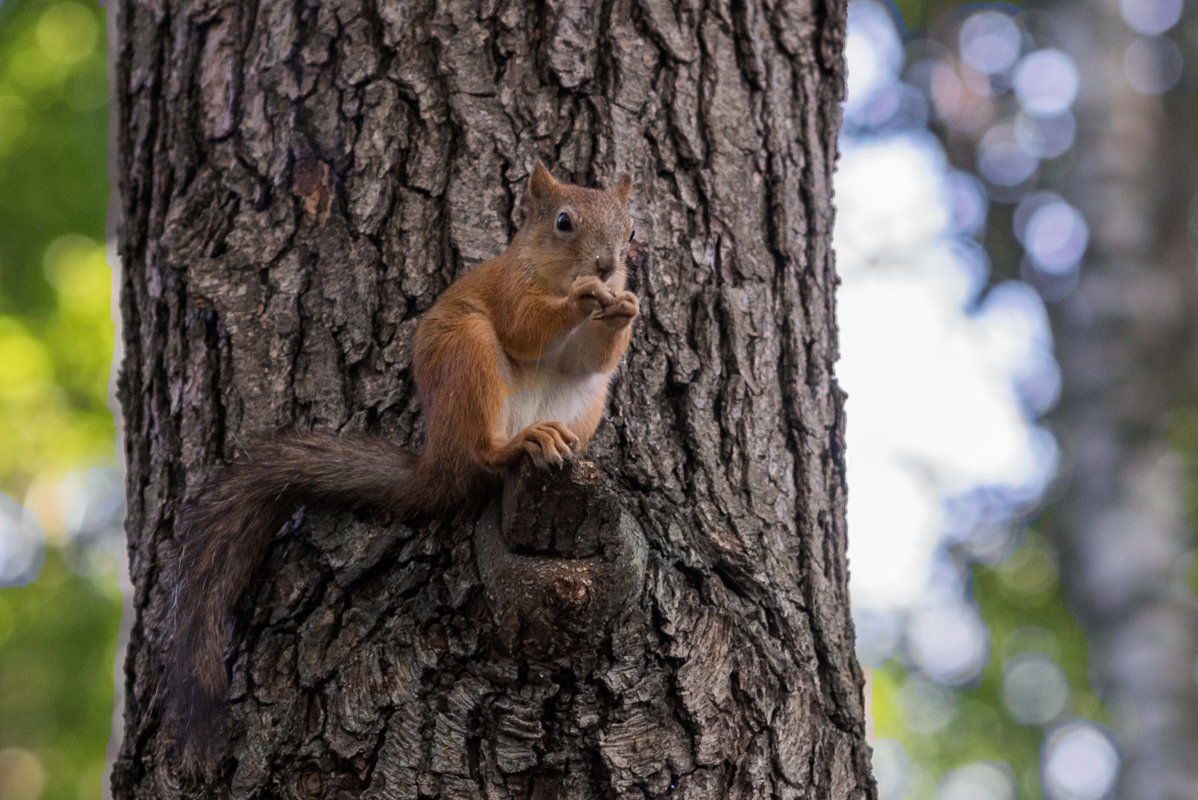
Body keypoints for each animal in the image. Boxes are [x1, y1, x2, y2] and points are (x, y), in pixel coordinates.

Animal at [166, 160, 646, 766]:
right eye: (563, 222)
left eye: (631, 230)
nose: (608, 266)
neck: (550, 272)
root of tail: (438, 462)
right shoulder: (511, 291)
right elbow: (527, 326)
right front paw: (585, 297)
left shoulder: (588, 356)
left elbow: (594, 358)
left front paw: (625, 308)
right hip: (467, 354)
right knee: (483, 451)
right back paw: (518, 444)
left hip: (584, 403)